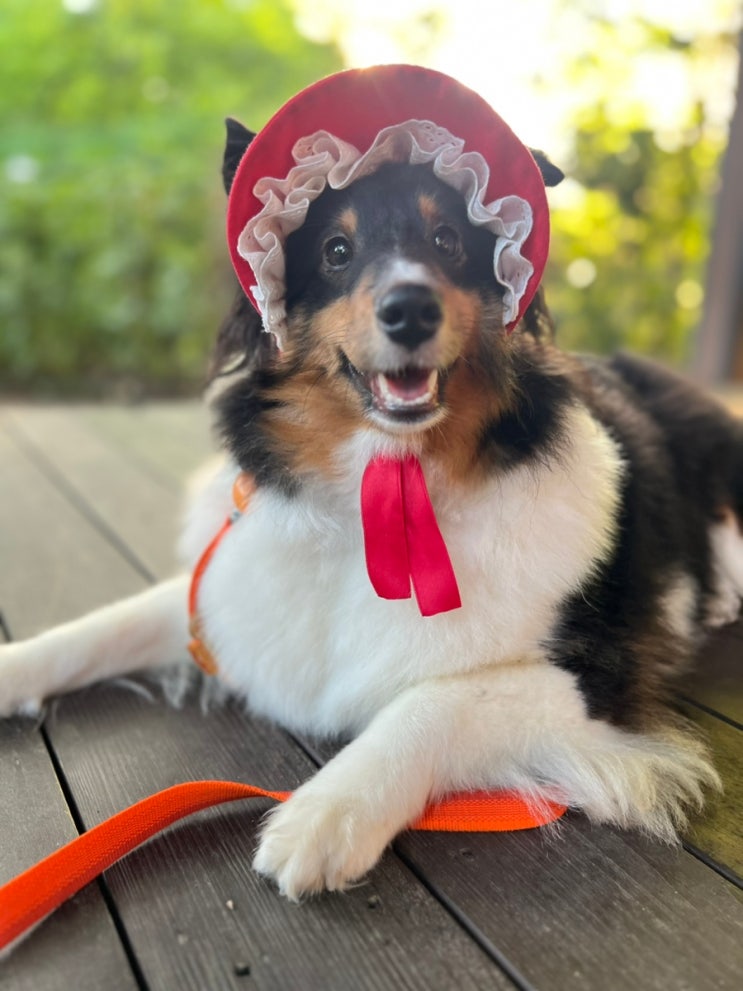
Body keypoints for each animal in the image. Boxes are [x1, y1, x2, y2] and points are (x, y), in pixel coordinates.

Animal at [0, 66, 739, 902]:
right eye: (335, 249)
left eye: (448, 241)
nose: (409, 307)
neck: (379, 488)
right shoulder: (216, 590)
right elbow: (102, 625)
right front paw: (10, 668)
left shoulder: (590, 682)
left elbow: (430, 702)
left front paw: (325, 813)